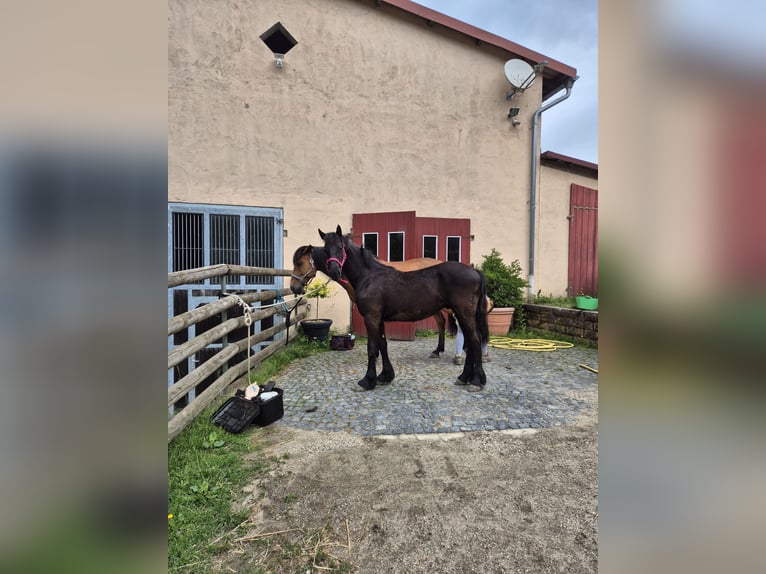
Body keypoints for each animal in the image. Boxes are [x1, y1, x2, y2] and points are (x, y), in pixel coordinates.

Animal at [319, 225, 489, 391]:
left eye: (341, 247)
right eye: (325, 249)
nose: (334, 271)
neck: (369, 277)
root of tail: (475, 271)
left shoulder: (371, 318)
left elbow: (372, 348)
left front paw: (367, 381)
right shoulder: (379, 319)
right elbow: (383, 345)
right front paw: (384, 376)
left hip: (464, 313)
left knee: (475, 340)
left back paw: (475, 381)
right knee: (471, 341)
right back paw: (464, 377)